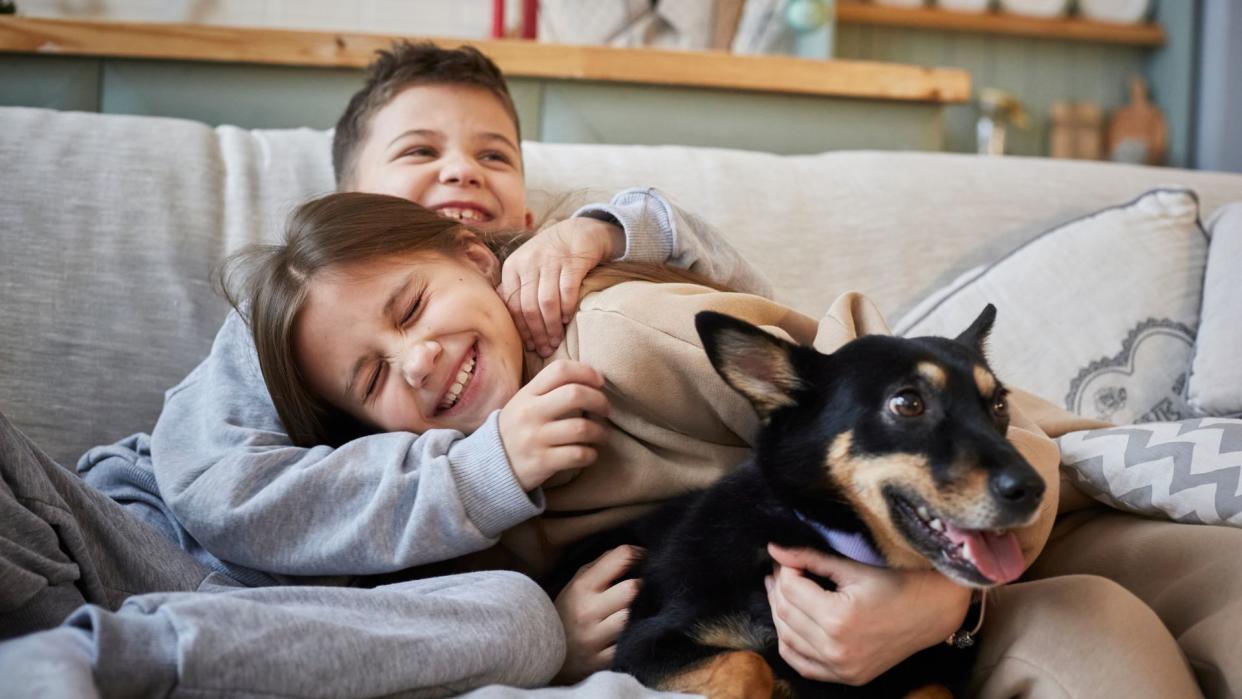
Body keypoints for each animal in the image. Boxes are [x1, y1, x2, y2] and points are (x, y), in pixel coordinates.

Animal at [568, 306, 1043, 699]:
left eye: (1000, 405)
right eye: (908, 403)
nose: (1034, 489)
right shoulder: (641, 648)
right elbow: (749, 664)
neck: (821, 533)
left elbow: (934, 690)